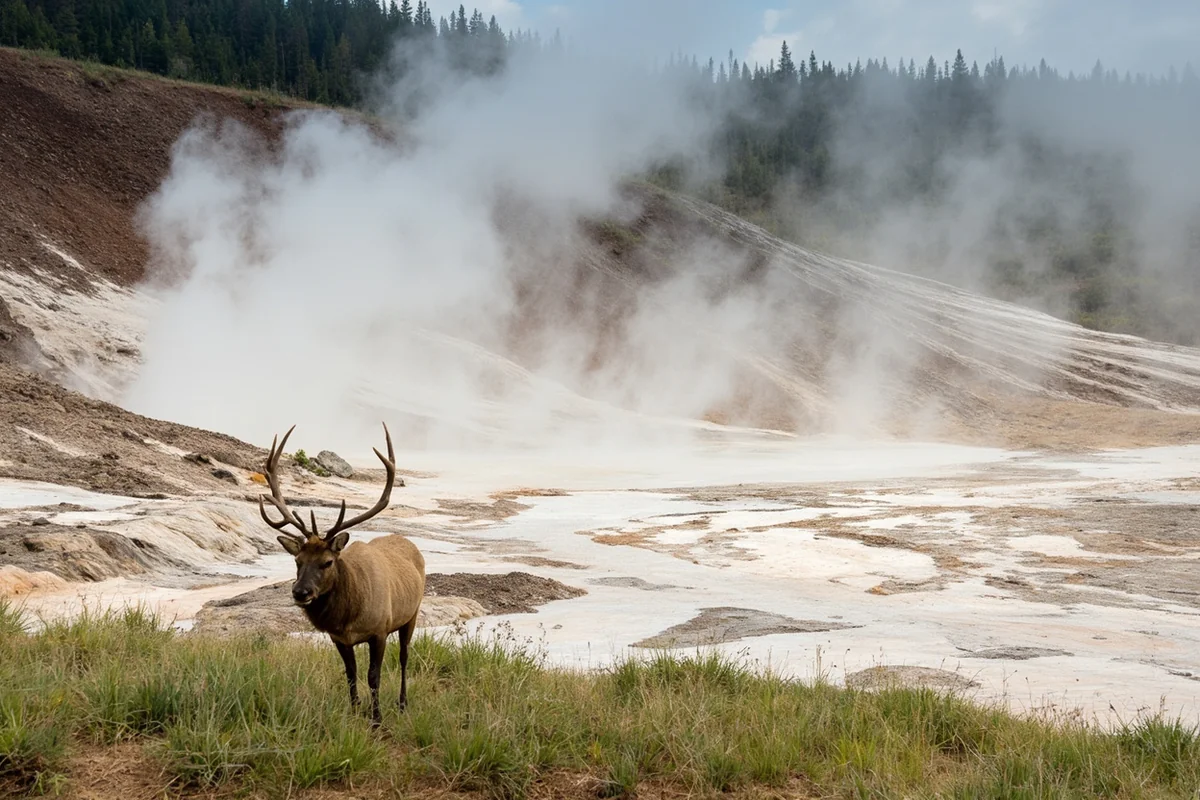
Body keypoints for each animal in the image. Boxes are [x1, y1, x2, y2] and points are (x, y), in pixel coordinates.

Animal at [258, 423, 425, 726]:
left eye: (327, 562)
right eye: (297, 561)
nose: (300, 592)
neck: (348, 617)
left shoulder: (379, 630)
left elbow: (374, 676)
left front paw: (376, 719)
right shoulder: (338, 637)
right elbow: (350, 675)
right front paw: (354, 711)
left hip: (412, 613)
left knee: (405, 656)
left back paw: (403, 704)